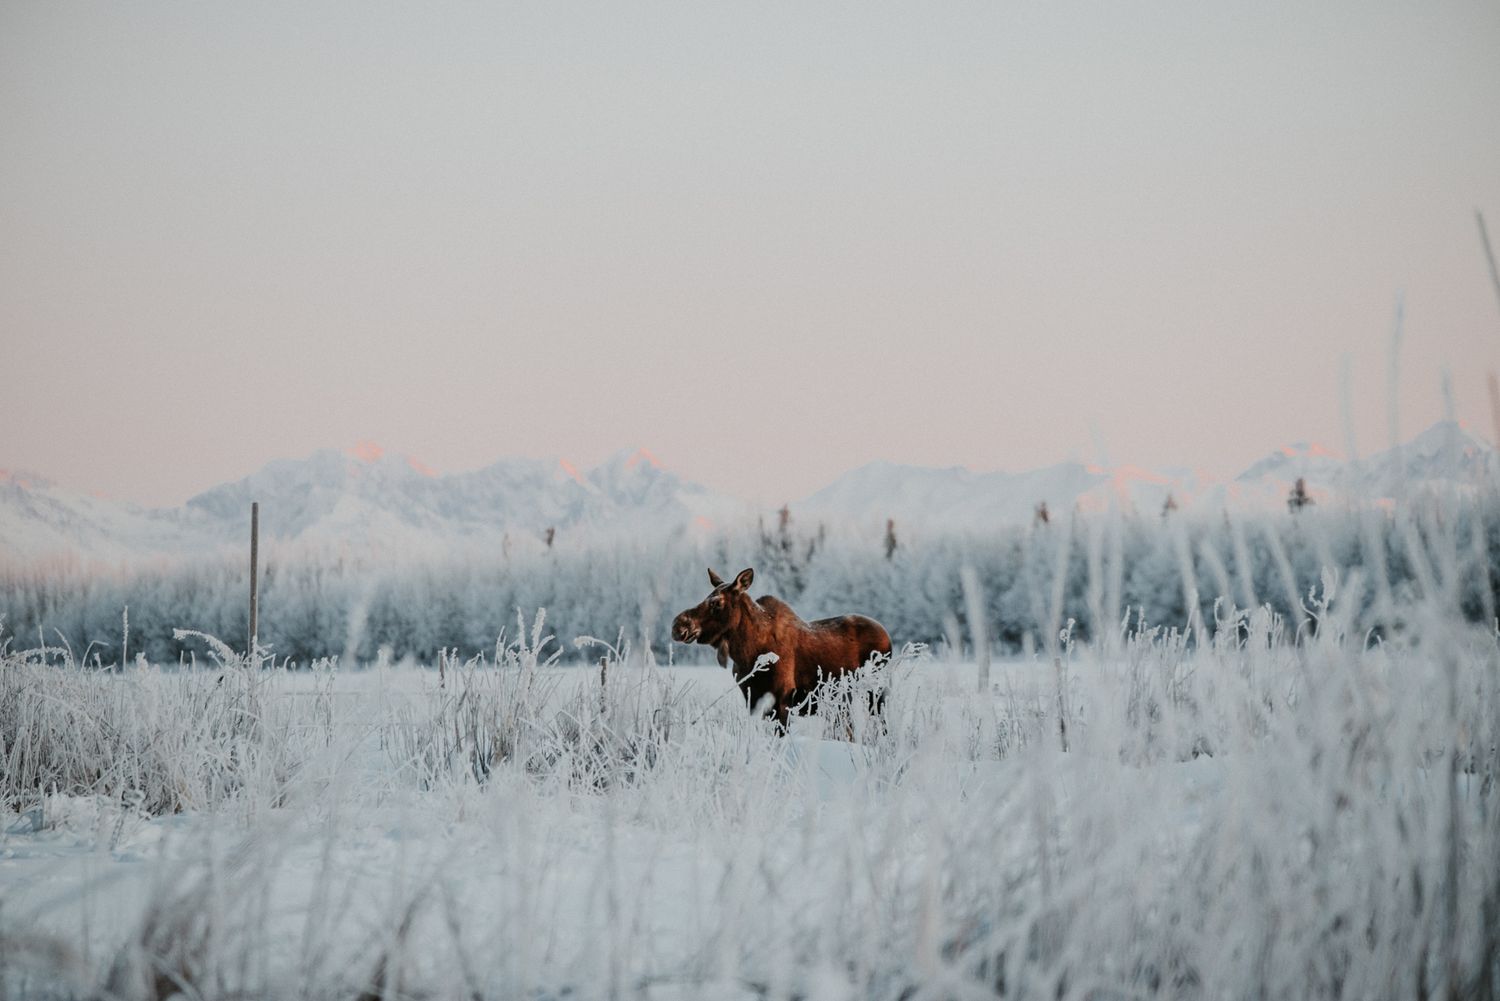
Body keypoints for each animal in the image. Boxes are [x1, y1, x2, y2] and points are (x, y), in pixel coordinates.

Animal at [671, 567, 892, 731]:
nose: (678, 626)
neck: (747, 654)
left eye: (716, 602)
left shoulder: (782, 698)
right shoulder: (753, 698)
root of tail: (886, 635)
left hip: (878, 692)